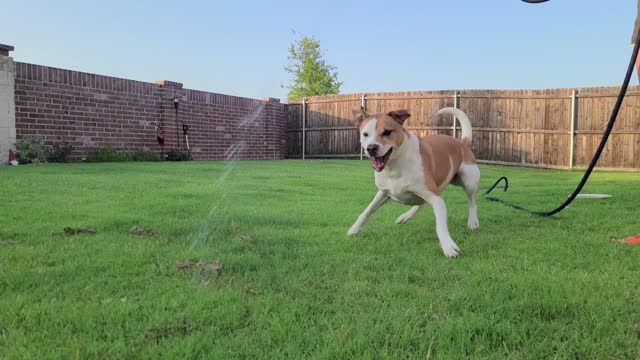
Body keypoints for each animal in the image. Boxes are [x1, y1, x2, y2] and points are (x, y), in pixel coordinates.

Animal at [344, 105, 480, 258]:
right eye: (365, 134)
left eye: (387, 132)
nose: (371, 148)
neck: (395, 165)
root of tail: (462, 143)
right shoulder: (383, 193)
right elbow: (367, 211)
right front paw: (354, 229)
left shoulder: (435, 198)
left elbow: (440, 225)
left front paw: (448, 245)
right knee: (420, 204)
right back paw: (405, 217)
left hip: (468, 181)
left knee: (472, 201)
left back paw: (473, 222)